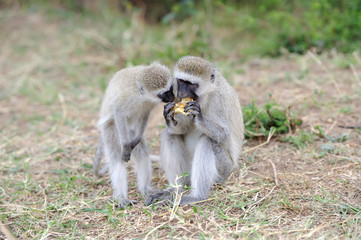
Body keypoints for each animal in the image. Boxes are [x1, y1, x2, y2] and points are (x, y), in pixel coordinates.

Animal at [94, 62, 174, 208]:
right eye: (164, 93)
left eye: (170, 88)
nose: (172, 97)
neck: (140, 94)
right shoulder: (126, 99)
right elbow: (119, 113)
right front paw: (126, 147)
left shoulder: (147, 105)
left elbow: (144, 116)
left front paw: (134, 142)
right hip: (112, 129)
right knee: (116, 156)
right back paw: (121, 197)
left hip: (130, 130)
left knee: (142, 152)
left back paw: (145, 189)